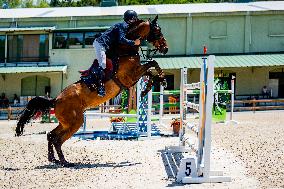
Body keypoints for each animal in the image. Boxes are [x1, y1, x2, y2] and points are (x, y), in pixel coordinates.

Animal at [15, 15, 169, 167]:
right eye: (158, 31)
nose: (165, 48)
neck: (124, 50)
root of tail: (56, 100)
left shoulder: (135, 74)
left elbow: (150, 69)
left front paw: (155, 83)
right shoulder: (130, 77)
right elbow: (152, 64)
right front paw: (157, 83)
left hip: (66, 122)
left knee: (51, 135)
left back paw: (54, 159)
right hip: (74, 122)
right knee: (57, 139)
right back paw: (65, 162)